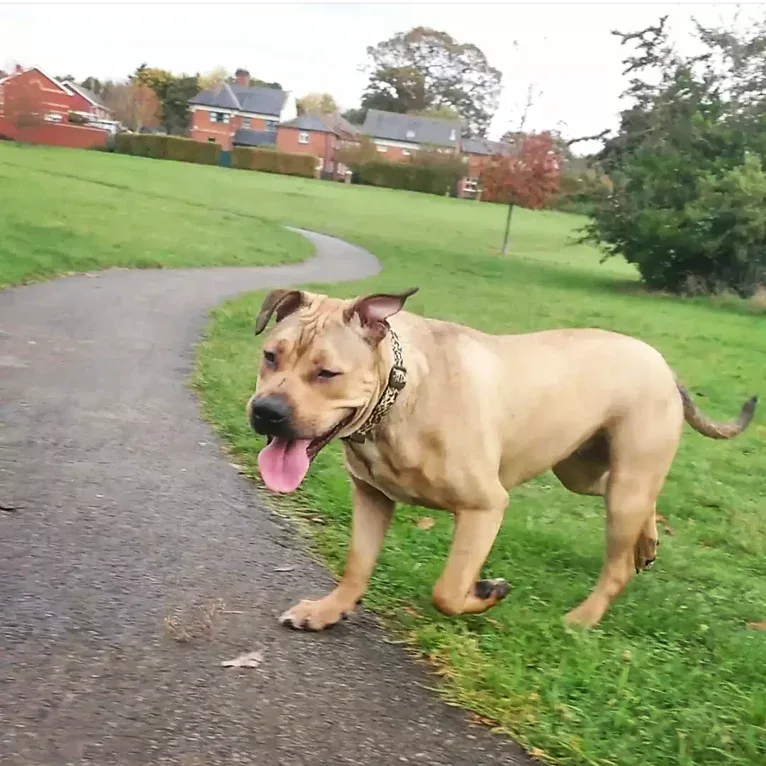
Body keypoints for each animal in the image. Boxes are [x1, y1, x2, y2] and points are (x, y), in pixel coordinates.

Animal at [246, 286, 756, 632]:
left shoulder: (484, 507)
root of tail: (663, 364)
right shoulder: (372, 497)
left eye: (327, 373)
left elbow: (448, 591)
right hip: (582, 469)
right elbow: (357, 564)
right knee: (636, 499)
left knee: (617, 566)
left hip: (625, 485)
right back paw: (647, 542)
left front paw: (487, 593)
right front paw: (329, 610)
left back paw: (582, 618)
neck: (400, 392)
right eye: (270, 356)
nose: (267, 412)